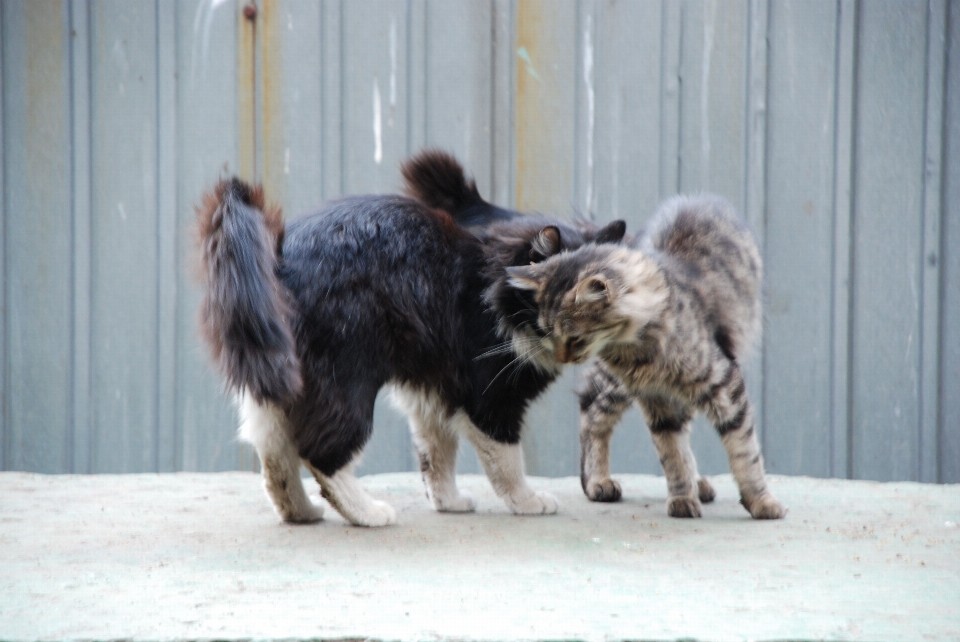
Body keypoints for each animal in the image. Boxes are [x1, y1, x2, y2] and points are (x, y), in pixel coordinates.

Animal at [199, 152, 628, 524]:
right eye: (561, 306)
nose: (579, 348)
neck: (491, 289)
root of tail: (278, 251)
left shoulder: (432, 392)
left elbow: (436, 455)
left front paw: (448, 502)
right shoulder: (490, 397)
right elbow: (506, 461)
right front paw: (528, 501)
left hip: (283, 380)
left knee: (275, 457)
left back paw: (301, 513)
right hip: (346, 376)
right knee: (321, 453)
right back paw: (368, 513)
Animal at [506, 192, 784, 516]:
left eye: (574, 338)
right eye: (547, 333)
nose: (562, 358)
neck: (637, 352)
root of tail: (698, 197)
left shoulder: (723, 385)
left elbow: (744, 451)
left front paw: (761, 501)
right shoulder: (655, 398)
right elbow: (672, 453)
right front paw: (682, 498)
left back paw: (698, 483)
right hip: (621, 389)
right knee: (592, 408)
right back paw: (597, 482)